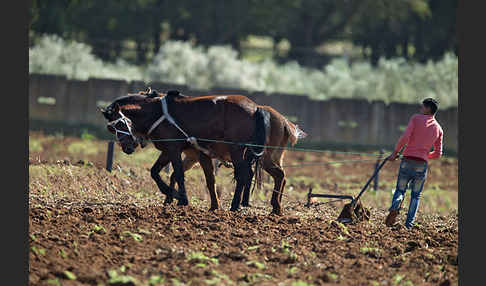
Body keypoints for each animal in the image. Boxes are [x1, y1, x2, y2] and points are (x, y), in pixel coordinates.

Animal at [100, 89, 272, 212]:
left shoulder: (174, 149)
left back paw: (235, 205)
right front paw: (172, 195)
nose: (126, 148)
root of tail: (256, 108)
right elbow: (156, 172)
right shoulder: (169, 151)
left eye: (120, 124)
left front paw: (181, 198)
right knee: (246, 174)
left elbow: (179, 174)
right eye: (110, 128)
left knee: (242, 175)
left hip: (236, 149)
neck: (156, 112)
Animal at [167, 105, 304, 212]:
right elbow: (176, 174)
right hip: (274, 157)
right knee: (280, 177)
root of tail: (284, 122)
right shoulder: (191, 157)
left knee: (278, 175)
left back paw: (273, 206)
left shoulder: (197, 156)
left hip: (265, 158)